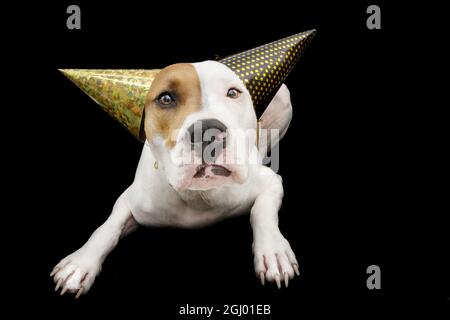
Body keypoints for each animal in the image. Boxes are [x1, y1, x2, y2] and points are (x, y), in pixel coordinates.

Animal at [51, 60, 298, 298]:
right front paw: (81, 263)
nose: (207, 132)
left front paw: (273, 251)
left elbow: (261, 211)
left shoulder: (271, 182)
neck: (197, 195)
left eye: (233, 92)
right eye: (166, 98)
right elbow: (108, 227)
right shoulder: (132, 200)